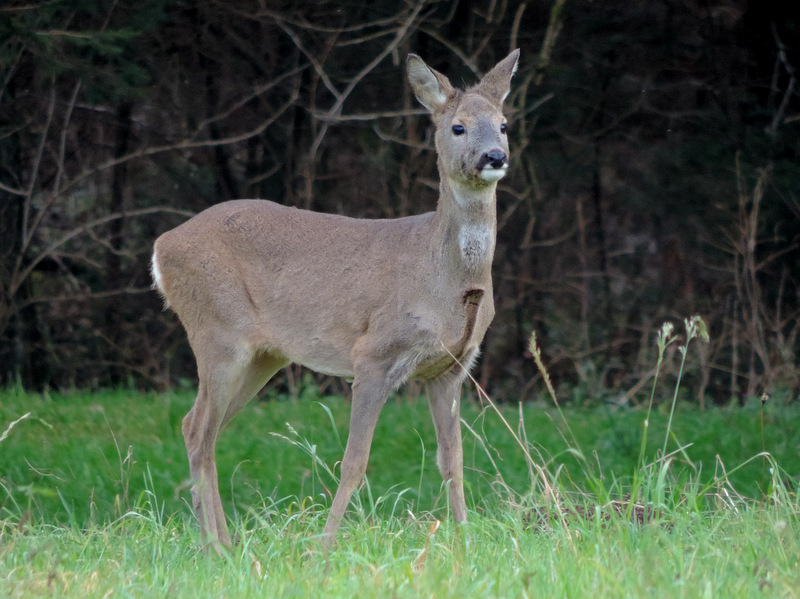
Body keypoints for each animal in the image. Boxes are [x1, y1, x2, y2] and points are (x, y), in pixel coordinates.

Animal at [152, 49, 520, 552]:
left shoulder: (452, 367)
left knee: (201, 429)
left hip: (263, 355)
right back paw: (217, 546)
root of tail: (160, 247)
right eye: (458, 127)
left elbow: (454, 460)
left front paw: (464, 540)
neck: (443, 277)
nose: (494, 156)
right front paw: (323, 547)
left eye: (503, 123)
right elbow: (354, 462)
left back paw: (219, 544)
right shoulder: (374, 354)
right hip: (216, 330)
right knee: (198, 429)